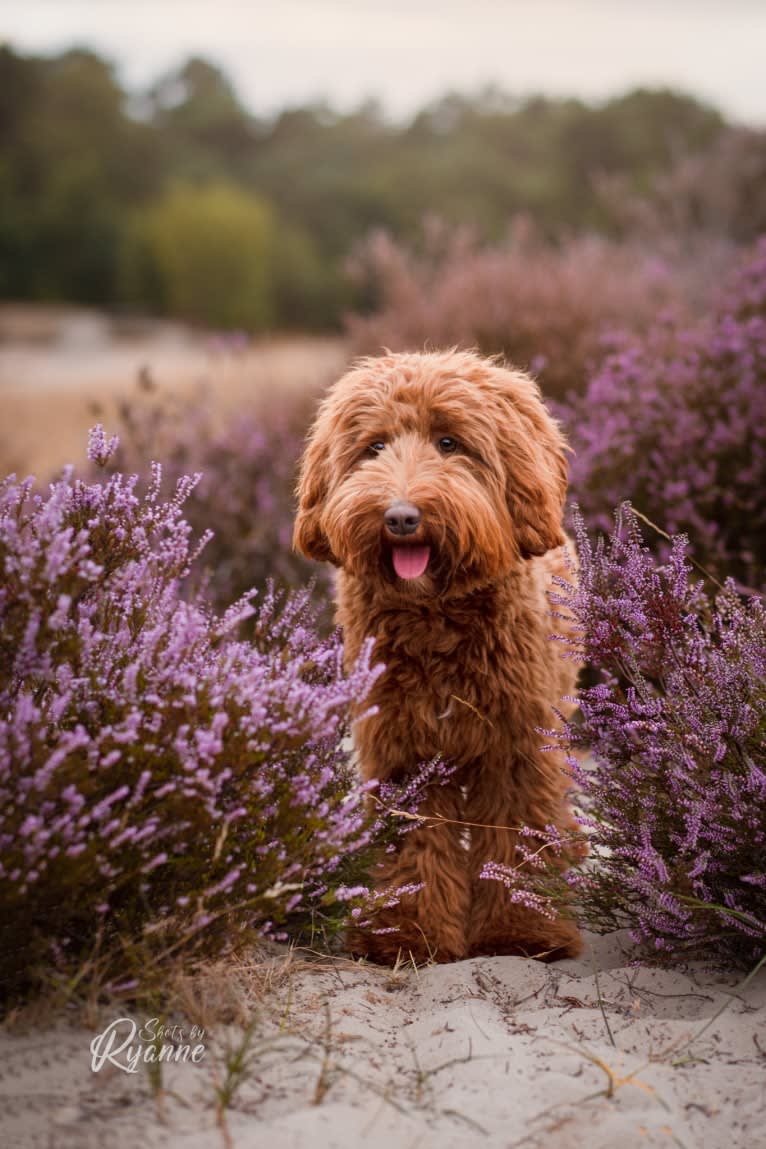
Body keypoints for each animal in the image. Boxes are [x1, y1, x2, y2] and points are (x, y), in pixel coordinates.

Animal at [293, 346, 581, 960]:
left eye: (449, 443)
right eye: (374, 447)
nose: (400, 517)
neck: (436, 617)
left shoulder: (516, 743)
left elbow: (515, 836)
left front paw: (521, 931)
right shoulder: (402, 746)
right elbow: (415, 845)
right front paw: (405, 933)